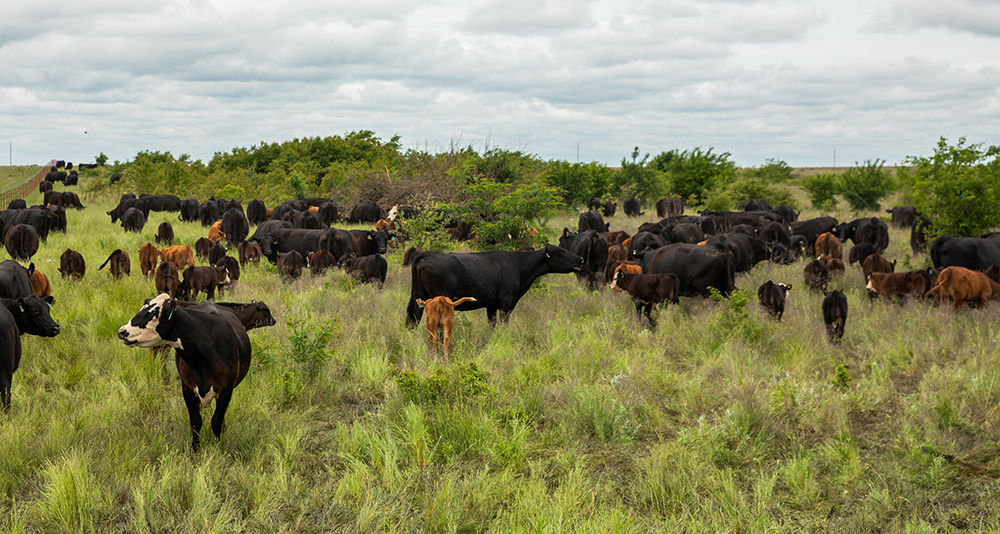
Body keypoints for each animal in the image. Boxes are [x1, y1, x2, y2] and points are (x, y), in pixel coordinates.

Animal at [402, 243, 584, 326]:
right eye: (560, 252)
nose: (581, 259)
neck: (517, 265)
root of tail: (426, 254)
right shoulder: (505, 303)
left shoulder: (491, 305)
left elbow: (492, 325)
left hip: (419, 296)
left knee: (413, 317)